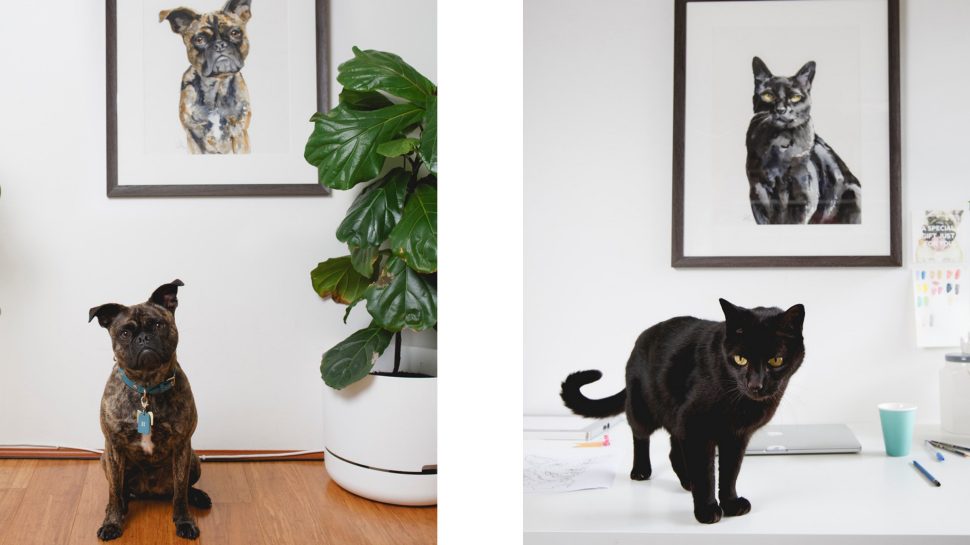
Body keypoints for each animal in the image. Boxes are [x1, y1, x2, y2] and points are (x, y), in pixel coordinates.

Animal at [89, 280, 210, 540]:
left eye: (157, 324)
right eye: (124, 333)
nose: (143, 338)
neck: (146, 387)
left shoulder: (182, 447)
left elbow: (180, 492)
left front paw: (184, 521)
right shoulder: (113, 447)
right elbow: (114, 491)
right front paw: (112, 522)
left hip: (194, 460)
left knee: (185, 488)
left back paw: (198, 496)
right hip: (106, 461)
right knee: (121, 492)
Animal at [160, 0, 251, 153]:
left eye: (235, 33)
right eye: (200, 39)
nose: (220, 45)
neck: (217, 86)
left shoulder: (239, 133)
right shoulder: (194, 137)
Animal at [560, 298, 800, 524]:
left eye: (776, 360)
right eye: (741, 359)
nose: (755, 385)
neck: (741, 401)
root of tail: (640, 341)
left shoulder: (736, 437)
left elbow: (730, 472)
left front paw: (731, 504)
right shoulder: (696, 427)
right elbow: (705, 474)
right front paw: (706, 510)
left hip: (676, 417)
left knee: (674, 451)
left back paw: (687, 482)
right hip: (642, 408)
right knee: (640, 436)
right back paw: (641, 470)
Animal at [744, 56, 860, 223]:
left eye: (795, 97)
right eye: (768, 96)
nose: (781, 110)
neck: (780, 144)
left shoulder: (804, 194)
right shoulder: (758, 191)